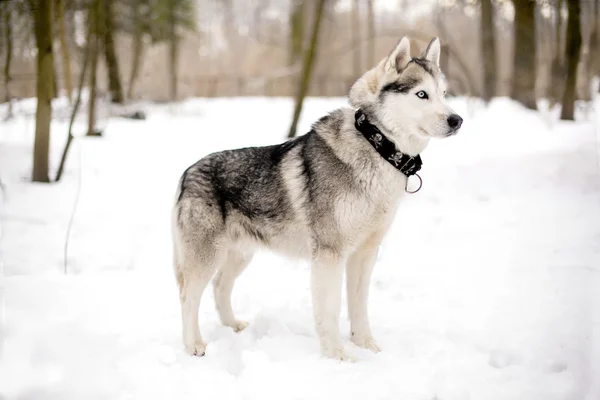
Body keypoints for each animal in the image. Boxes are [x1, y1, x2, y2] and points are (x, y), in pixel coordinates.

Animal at [173, 37, 464, 360]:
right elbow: (330, 309)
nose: (457, 120)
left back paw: (232, 325)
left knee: (220, 286)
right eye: (421, 94)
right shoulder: (329, 255)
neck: (376, 147)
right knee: (188, 296)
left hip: (240, 255)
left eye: (444, 94)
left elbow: (359, 306)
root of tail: (187, 172)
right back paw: (193, 345)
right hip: (207, 257)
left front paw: (366, 345)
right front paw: (337, 354)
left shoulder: (365, 253)